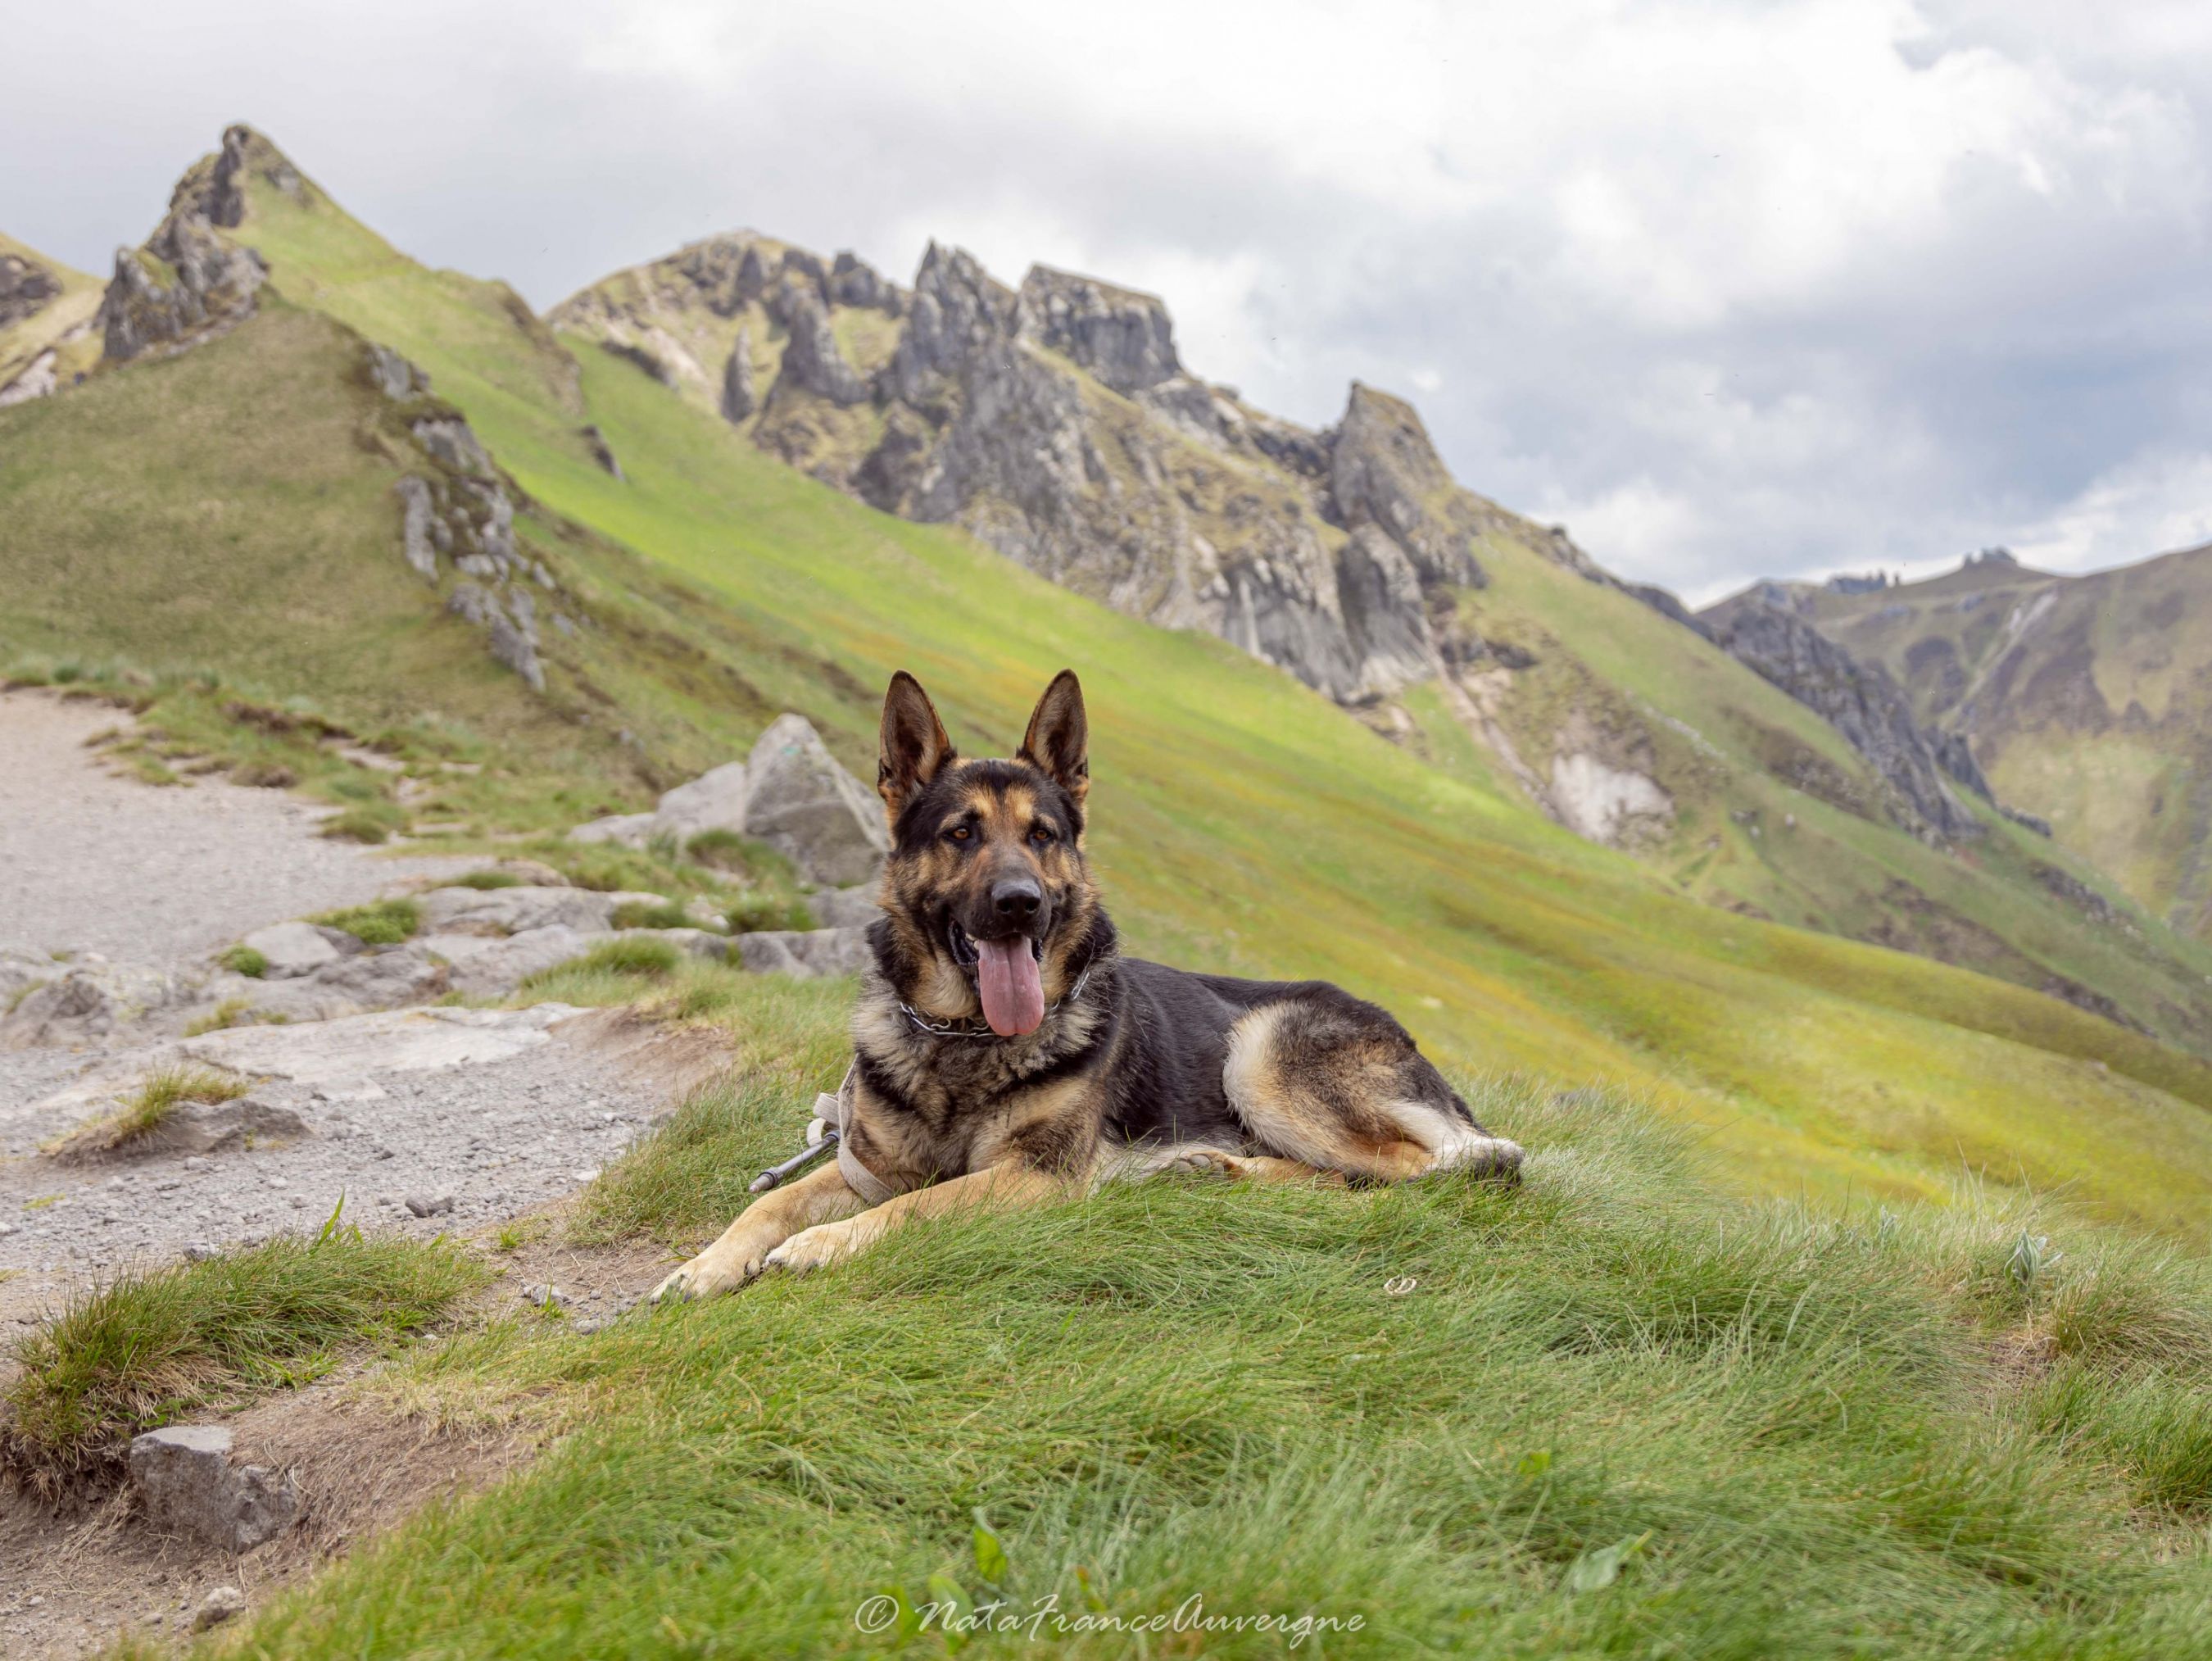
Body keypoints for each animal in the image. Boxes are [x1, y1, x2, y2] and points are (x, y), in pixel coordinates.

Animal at [650, 672, 1521, 1300]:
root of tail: (1402, 1032)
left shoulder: (1030, 1176)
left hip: (1262, 1053)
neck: (964, 1037)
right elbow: (769, 1200)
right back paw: (1210, 1170)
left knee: (1407, 1173)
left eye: (1043, 836)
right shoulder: (867, 1164)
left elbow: (918, 1203)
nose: (1019, 903)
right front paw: (704, 1264)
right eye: (960, 832)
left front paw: (820, 1245)